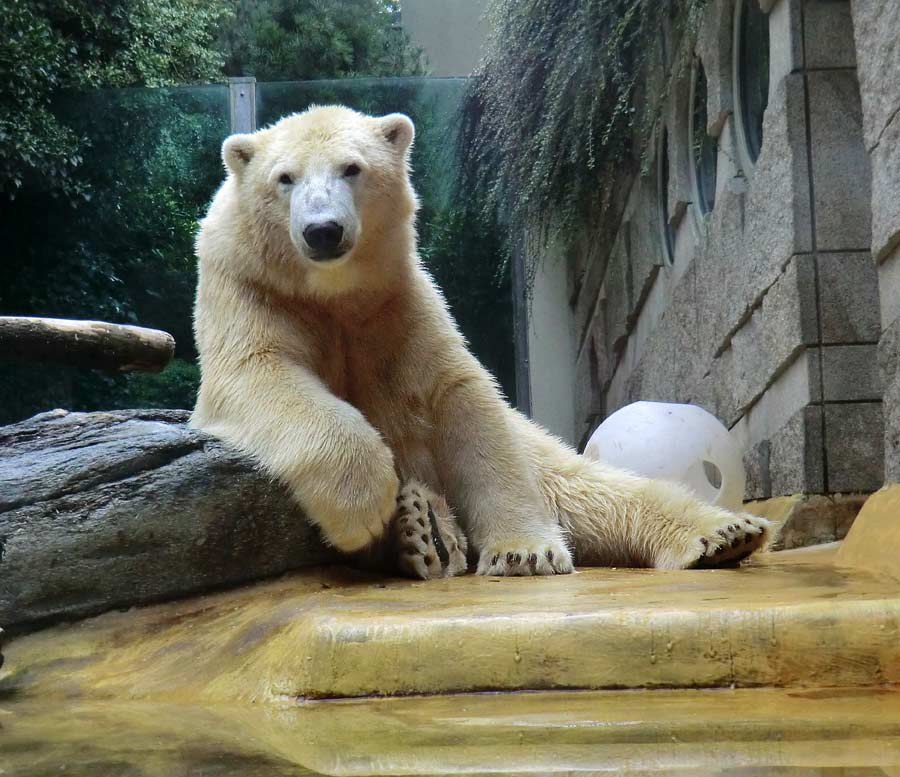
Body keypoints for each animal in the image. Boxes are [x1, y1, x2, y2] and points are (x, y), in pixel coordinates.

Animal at [190, 104, 768, 576]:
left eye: (352, 168)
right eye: (284, 178)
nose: (323, 231)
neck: (333, 294)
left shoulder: (397, 303)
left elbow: (461, 399)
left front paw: (523, 552)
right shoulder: (249, 288)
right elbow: (255, 369)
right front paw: (363, 506)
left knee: (587, 487)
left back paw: (724, 533)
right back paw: (426, 532)